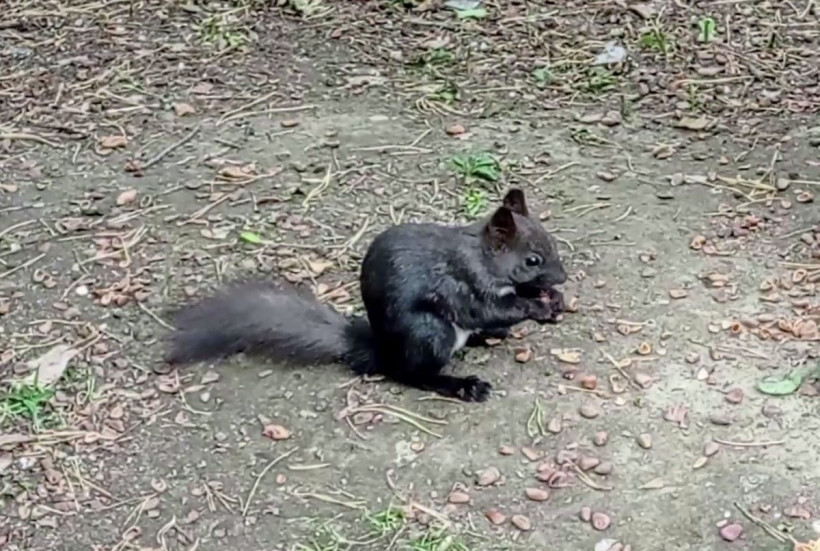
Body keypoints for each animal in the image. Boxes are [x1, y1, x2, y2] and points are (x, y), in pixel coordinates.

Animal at [164, 188, 567, 403]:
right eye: (532, 260)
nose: (562, 277)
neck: (482, 257)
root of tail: (382, 352)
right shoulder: (463, 284)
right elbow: (488, 309)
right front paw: (537, 306)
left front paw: (550, 297)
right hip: (428, 334)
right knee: (415, 375)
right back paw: (461, 384)